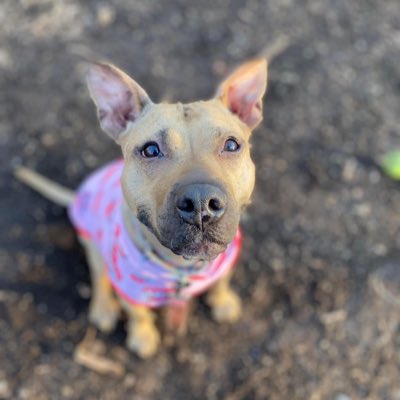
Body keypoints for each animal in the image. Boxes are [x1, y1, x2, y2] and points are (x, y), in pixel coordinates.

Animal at [16, 57, 268, 360]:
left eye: (231, 145)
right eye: (150, 150)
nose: (200, 202)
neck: (183, 268)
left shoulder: (226, 261)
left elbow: (221, 282)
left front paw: (224, 302)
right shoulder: (130, 289)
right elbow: (138, 315)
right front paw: (143, 338)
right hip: (93, 245)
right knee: (99, 276)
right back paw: (103, 309)